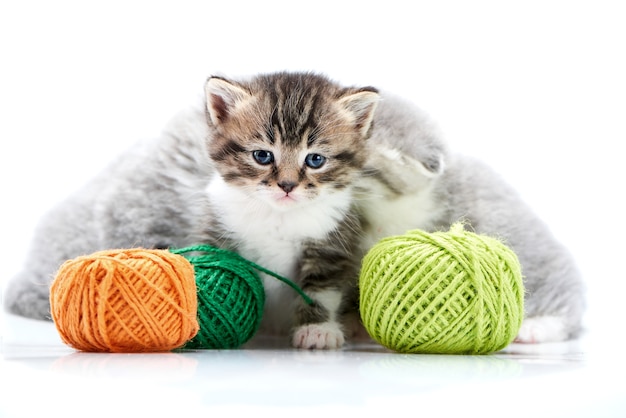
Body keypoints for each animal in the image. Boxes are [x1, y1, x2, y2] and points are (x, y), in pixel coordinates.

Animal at [3, 72, 584, 350]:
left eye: (317, 157)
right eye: (260, 156)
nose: (288, 180)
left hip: (501, 225)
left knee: (559, 291)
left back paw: (536, 327)